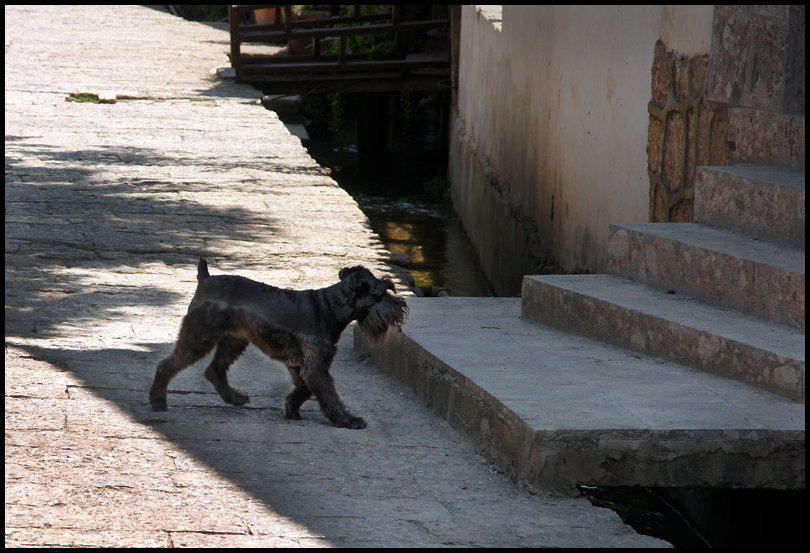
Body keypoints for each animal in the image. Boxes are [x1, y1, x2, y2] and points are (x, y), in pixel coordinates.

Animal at [147, 256, 404, 430]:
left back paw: (235, 398)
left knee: (215, 370)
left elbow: (305, 389)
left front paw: (291, 408)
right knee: (166, 365)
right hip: (199, 337)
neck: (329, 307)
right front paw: (347, 420)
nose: (400, 305)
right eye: (383, 292)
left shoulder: (302, 365)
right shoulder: (315, 366)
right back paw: (158, 402)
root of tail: (205, 279)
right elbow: (328, 395)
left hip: (234, 341)